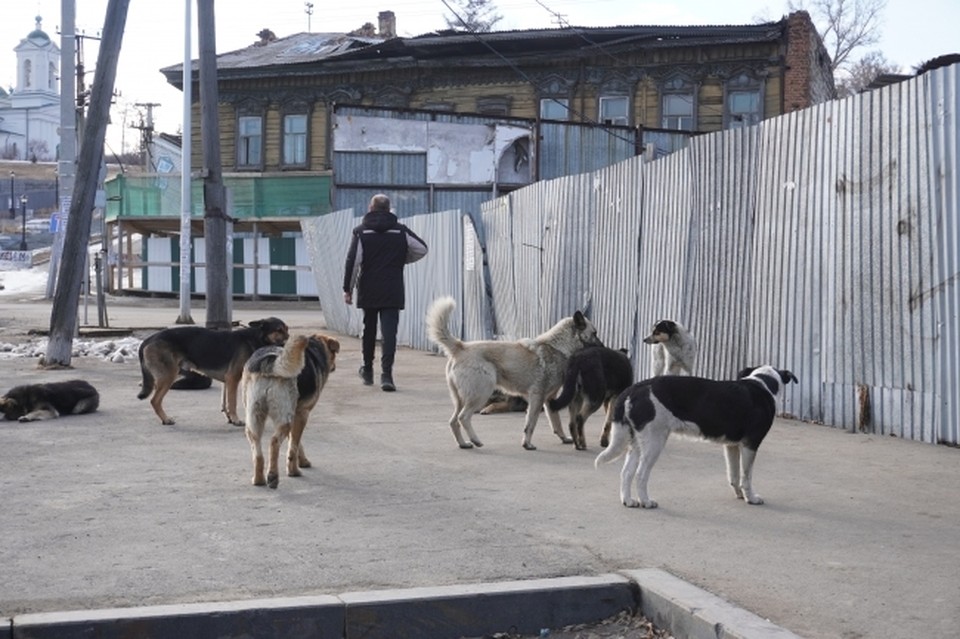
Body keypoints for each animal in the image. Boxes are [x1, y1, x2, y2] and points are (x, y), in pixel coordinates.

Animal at [137, 317, 289, 426]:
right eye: (278, 330)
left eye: (287, 330)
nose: (289, 342)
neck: (256, 337)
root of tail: (149, 339)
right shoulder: (233, 379)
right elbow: (232, 402)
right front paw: (236, 419)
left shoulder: (227, 381)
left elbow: (225, 402)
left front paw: (229, 418)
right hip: (169, 376)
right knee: (155, 401)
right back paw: (166, 419)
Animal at [241, 333, 340, 489]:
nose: (334, 367)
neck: (316, 346)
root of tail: (268, 363)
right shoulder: (302, 413)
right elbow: (293, 445)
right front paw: (294, 469)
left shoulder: (296, 415)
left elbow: (295, 442)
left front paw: (303, 461)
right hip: (284, 418)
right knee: (274, 442)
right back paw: (273, 476)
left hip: (254, 417)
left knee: (257, 450)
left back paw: (258, 479)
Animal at [426, 295, 603, 450]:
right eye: (594, 333)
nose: (604, 348)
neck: (559, 347)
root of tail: (460, 347)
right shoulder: (537, 398)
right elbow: (530, 424)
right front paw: (527, 444)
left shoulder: (549, 400)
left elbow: (556, 422)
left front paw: (564, 438)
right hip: (481, 394)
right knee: (463, 418)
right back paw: (476, 440)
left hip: (461, 399)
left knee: (453, 421)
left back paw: (464, 444)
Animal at [595, 365, 798, 508]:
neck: (763, 384)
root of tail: (633, 389)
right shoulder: (751, 444)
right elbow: (746, 477)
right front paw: (751, 498)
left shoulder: (731, 445)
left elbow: (733, 475)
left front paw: (739, 495)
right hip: (654, 441)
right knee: (640, 474)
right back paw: (646, 501)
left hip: (637, 442)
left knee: (626, 472)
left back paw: (628, 501)